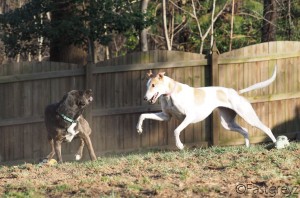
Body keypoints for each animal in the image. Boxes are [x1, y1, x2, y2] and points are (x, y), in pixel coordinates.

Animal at [137, 65, 278, 149]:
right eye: (147, 85)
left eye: (153, 85)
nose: (145, 98)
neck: (171, 93)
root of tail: (236, 92)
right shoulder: (165, 116)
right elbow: (142, 115)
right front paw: (139, 128)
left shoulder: (189, 117)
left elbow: (176, 130)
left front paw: (180, 145)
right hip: (227, 123)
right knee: (245, 130)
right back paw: (247, 147)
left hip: (248, 116)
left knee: (266, 128)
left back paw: (276, 144)